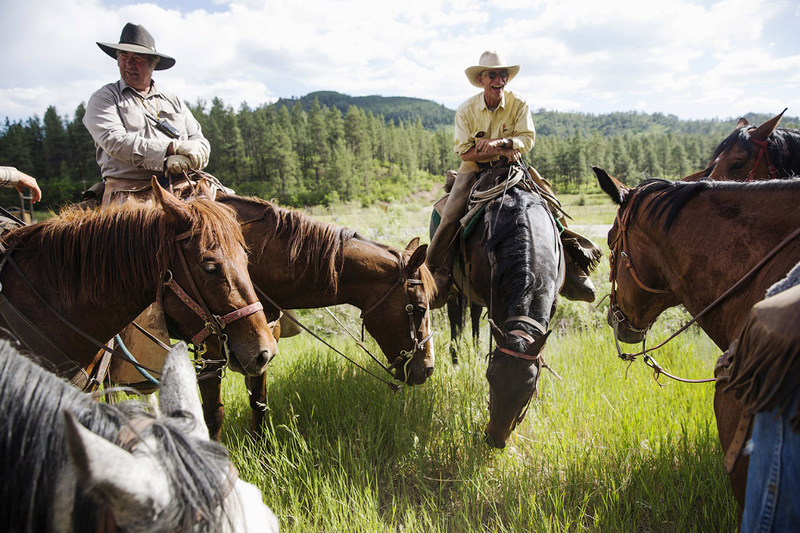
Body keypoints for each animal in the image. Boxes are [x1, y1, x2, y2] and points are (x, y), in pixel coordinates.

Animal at [111, 193, 434, 438]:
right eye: (418, 309)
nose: (427, 369)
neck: (258, 265)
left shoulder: (261, 348)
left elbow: (259, 402)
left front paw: (262, 451)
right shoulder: (210, 355)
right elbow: (213, 415)